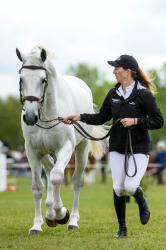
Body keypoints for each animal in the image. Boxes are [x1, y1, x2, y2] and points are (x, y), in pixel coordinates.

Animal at [15, 46, 104, 234]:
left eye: (43, 80)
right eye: (21, 79)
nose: (30, 117)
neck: (46, 115)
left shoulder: (66, 148)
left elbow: (57, 177)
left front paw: (61, 213)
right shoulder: (32, 151)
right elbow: (38, 186)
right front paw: (37, 225)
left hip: (81, 149)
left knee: (76, 181)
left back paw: (72, 221)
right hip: (46, 154)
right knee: (49, 173)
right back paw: (49, 214)